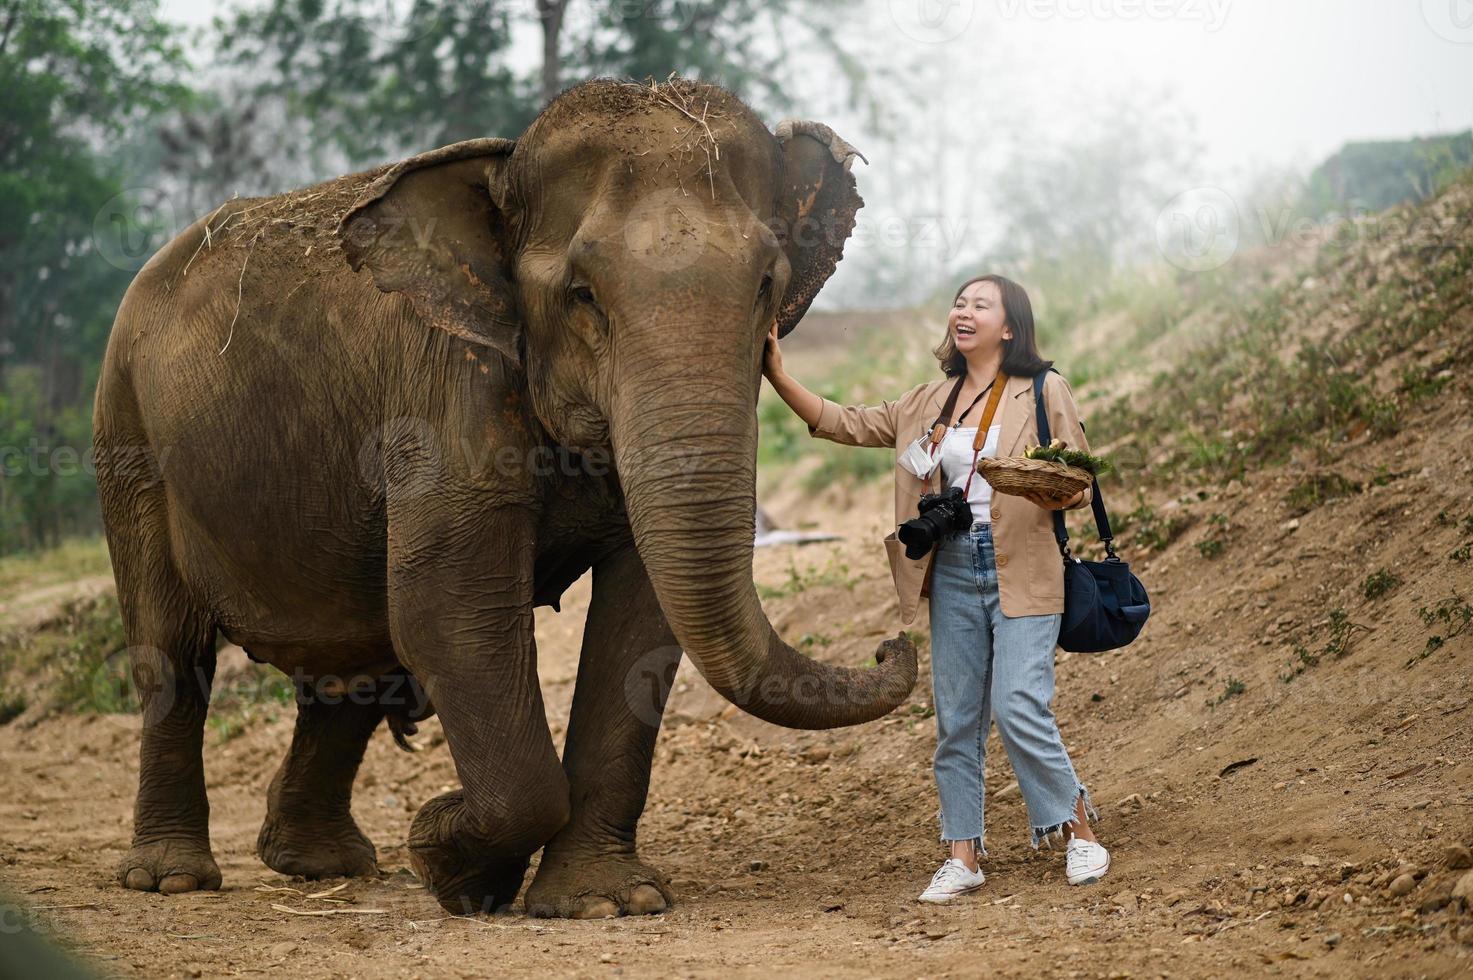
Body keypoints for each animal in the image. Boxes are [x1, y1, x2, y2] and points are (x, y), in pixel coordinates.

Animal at [95, 76, 907, 919]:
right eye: (582, 294)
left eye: (766, 287)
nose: (891, 644)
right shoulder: (448, 383)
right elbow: (449, 610)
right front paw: (448, 858)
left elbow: (638, 617)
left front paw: (599, 901)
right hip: (127, 436)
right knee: (170, 650)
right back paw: (172, 878)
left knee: (349, 660)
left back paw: (321, 864)